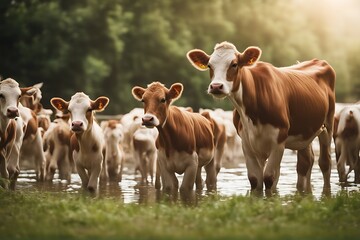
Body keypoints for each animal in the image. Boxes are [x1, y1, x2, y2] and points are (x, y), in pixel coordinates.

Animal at [187, 41, 336, 192]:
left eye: (234, 64)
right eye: (209, 65)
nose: (216, 86)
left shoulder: (278, 142)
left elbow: (269, 178)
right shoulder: (247, 142)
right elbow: (255, 180)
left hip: (327, 127)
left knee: (325, 163)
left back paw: (326, 192)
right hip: (306, 133)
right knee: (306, 163)